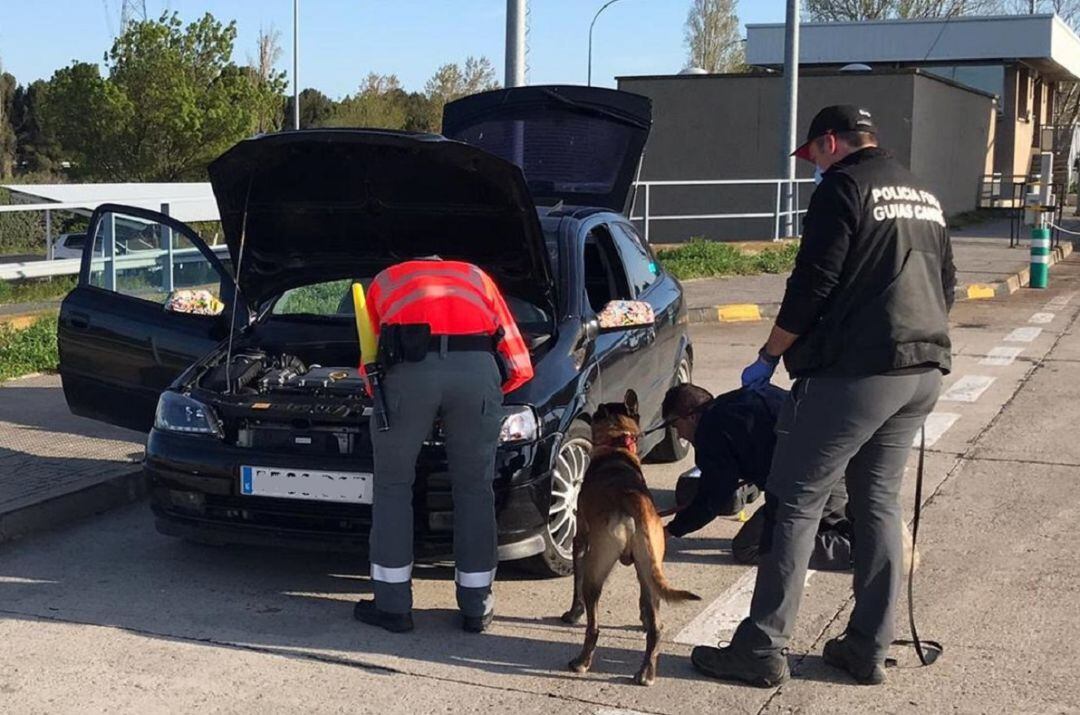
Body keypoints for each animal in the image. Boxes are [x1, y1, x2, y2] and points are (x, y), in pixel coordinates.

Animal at [561, 395, 704, 686]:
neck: (617, 446)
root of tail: (633, 500)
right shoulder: (643, 568)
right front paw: (642, 618)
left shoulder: (580, 540)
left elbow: (575, 585)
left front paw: (572, 613)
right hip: (650, 566)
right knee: (657, 627)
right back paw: (646, 672)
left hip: (597, 567)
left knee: (594, 626)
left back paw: (582, 662)